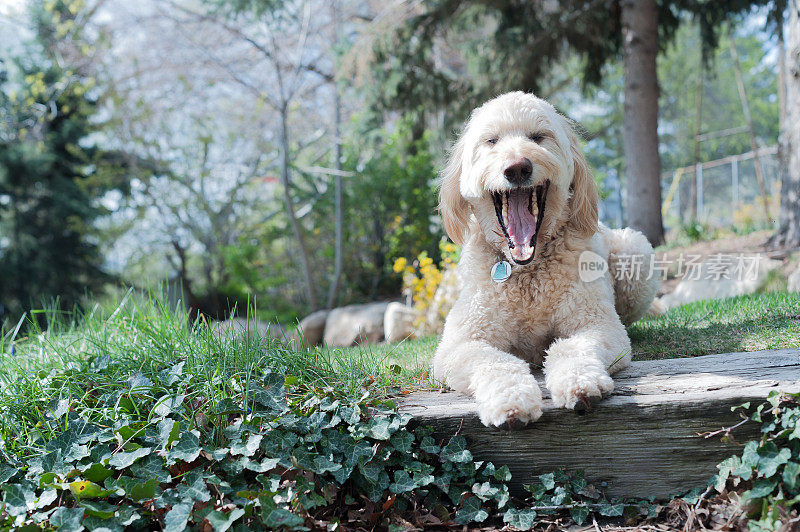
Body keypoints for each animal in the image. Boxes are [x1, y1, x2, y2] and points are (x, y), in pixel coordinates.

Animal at [434, 91, 660, 428]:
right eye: (491, 141)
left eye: (538, 137)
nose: (517, 168)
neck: (527, 270)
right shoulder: (461, 344)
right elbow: (494, 361)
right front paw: (510, 399)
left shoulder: (596, 324)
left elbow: (571, 347)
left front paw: (580, 383)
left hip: (634, 251)